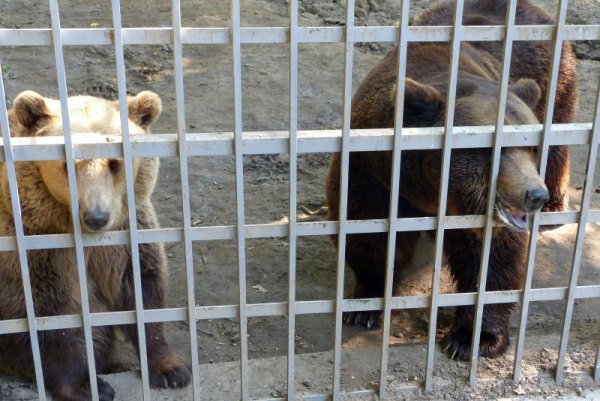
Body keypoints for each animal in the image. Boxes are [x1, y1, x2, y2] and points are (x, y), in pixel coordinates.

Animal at [0, 90, 191, 400]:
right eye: (68, 165)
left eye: (114, 163)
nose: (97, 217)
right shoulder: (35, 246)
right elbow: (48, 314)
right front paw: (89, 385)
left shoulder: (123, 237)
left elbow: (142, 288)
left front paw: (171, 369)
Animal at [326, 0, 580, 360]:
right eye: (493, 150)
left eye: (529, 147)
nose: (534, 195)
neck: (427, 187)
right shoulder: (374, 172)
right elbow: (369, 234)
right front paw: (364, 306)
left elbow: (492, 260)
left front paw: (472, 338)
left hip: (554, 82)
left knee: (558, 141)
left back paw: (555, 207)